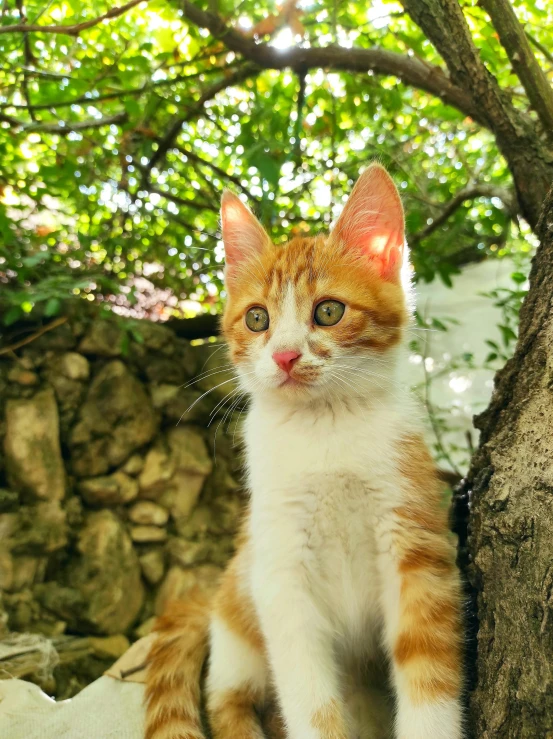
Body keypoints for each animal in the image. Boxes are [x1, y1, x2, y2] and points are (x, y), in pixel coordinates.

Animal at [144, 165, 464, 739]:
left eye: (328, 311)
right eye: (257, 319)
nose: (286, 356)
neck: (325, 428)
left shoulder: (416, 541)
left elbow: (427, 666)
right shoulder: (279, 568)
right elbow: (308, 698)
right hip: (239, 615)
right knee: (231, 701)